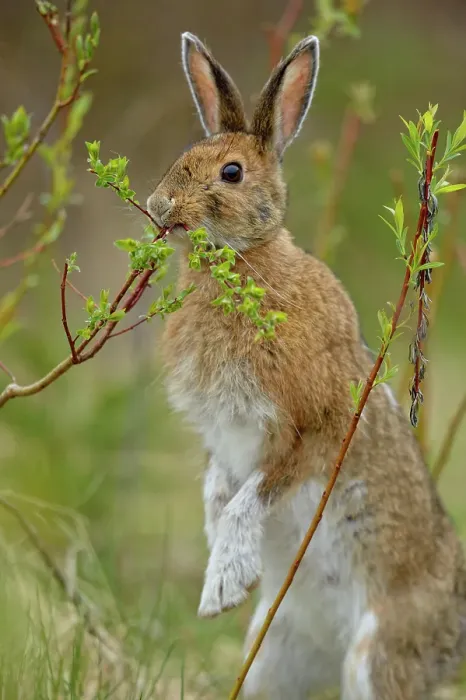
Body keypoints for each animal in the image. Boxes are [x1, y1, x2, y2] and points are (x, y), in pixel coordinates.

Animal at [147, 32, 466, 700]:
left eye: (231, 172)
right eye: (184, 156)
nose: (159, 206)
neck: (243, 266)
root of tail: (456, 638)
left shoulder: (314, 430)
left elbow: (251, 497)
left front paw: (223, 585)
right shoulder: (221, 438)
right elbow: (218, 489)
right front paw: (221, 567)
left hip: (377, 655)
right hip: (278, 653)